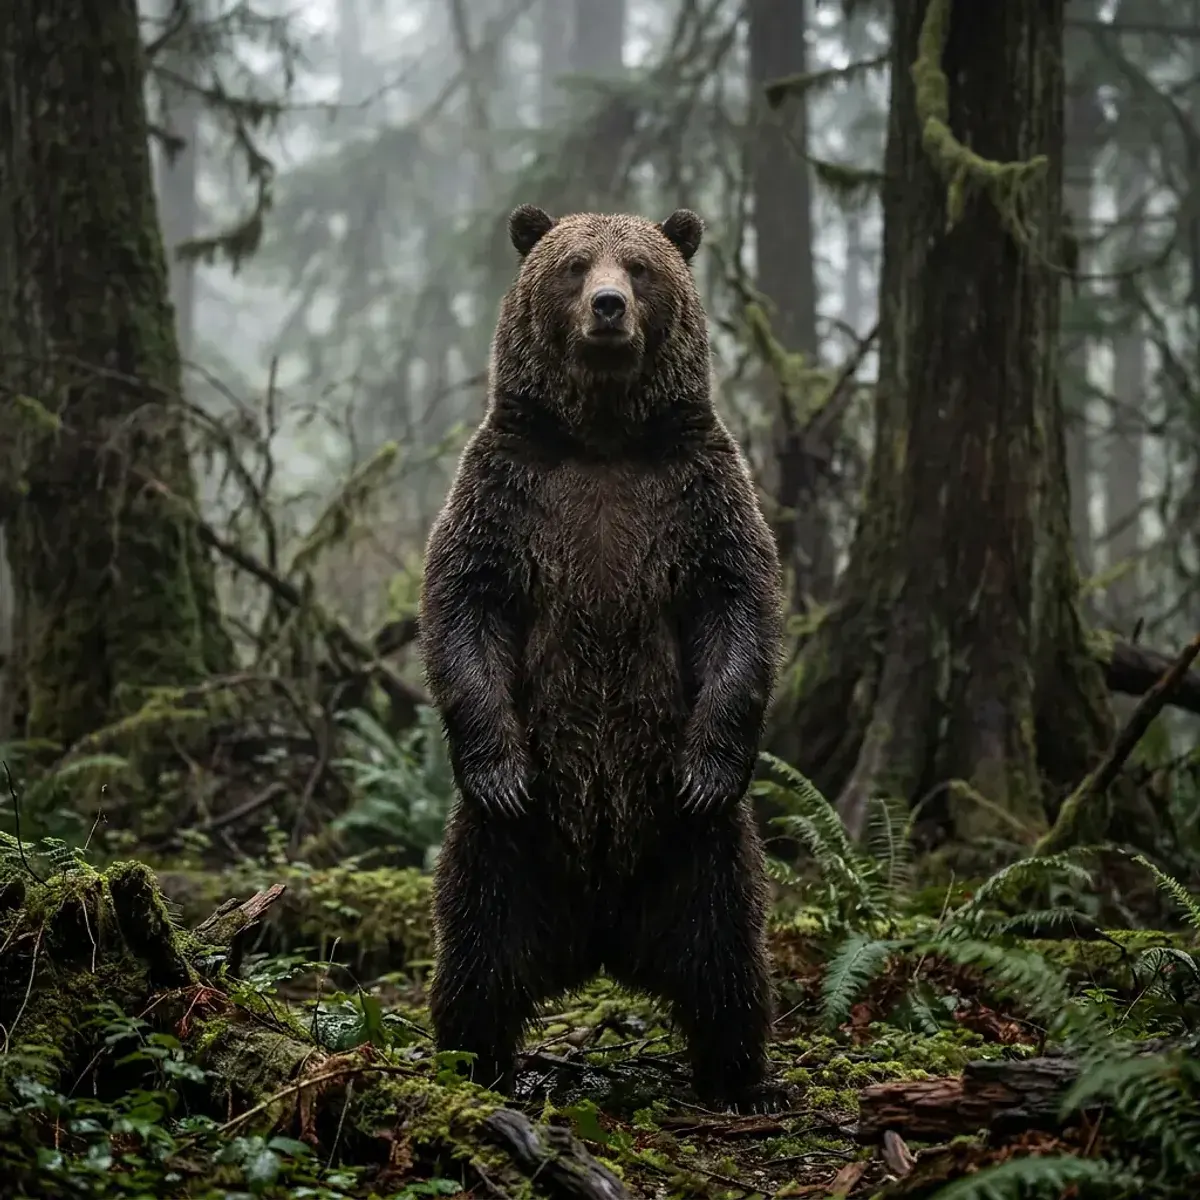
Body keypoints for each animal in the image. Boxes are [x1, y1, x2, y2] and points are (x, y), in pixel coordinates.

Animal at [418, 204, 784, 1111]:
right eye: (576, 264)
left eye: (641, 266)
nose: (609, 308)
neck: (605, 435)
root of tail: (604, 936)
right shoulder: (509, 487)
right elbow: (465, 603)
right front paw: (498, 768)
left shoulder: (697, 490)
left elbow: (738, 602)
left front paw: (710, 767)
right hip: (504, 855)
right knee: (476, 950)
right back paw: (475, 1062)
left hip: (701, 855)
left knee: (730, 956)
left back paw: (741, 1077)